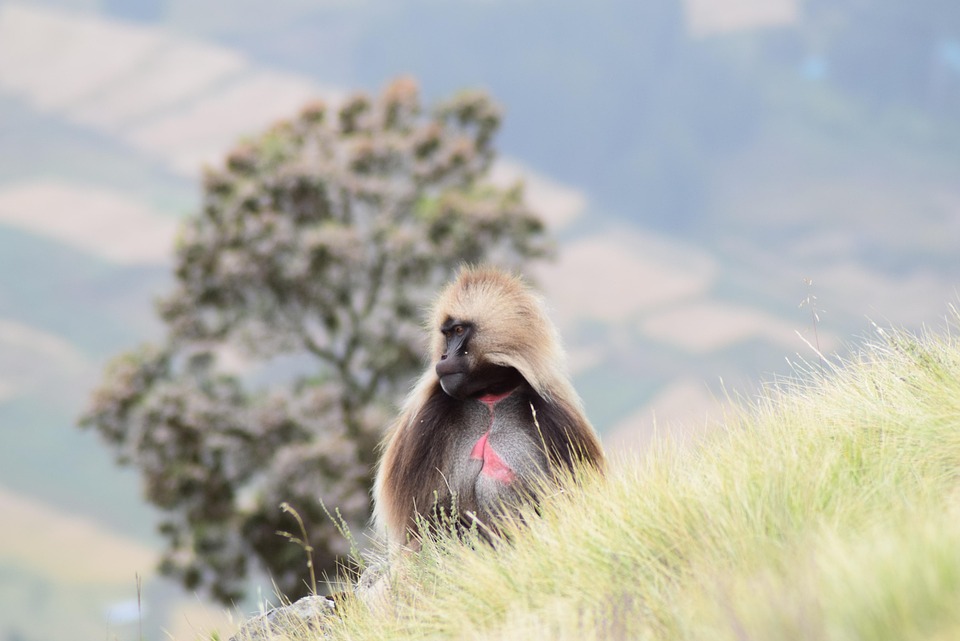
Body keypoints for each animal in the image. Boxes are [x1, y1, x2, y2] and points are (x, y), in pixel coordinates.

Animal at [372, 265, 605, 549]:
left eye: (459, 331)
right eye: (446, 334)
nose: (444, 357)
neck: (491, 398)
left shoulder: (558, 419)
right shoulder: (423, 424)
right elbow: (420, 528)